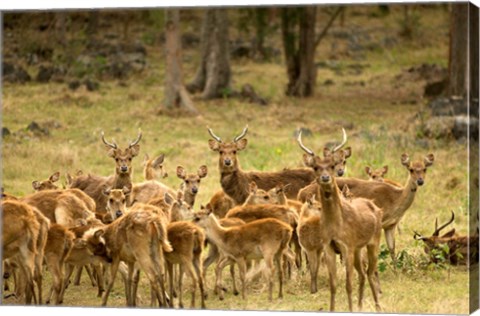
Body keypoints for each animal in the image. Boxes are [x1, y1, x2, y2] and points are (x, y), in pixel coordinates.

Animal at [296, 131, 382, 312]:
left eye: (333, 165)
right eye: (315, 167)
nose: (325, 177)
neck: (336, 226)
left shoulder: (346, 246)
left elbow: (348, 284)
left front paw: (350, 308)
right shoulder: (329, 247)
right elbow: (333, 285)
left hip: (373, 242)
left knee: (370, 272)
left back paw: (377, 306)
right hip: (358, 249)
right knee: (363, 274)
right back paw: (360, 305)